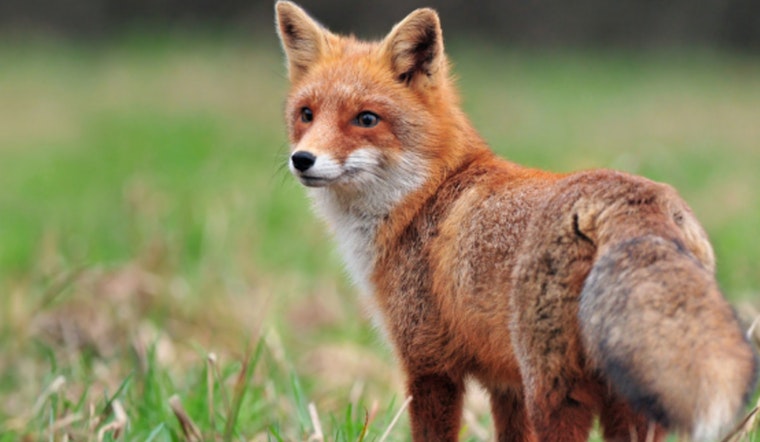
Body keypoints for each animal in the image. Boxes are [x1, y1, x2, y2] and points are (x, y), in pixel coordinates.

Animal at [275, 2, 757, 441]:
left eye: (366, 119)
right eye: (306, 114)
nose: (303, 160)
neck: (428, 195)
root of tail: (632, 199)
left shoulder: (429, 364)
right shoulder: (505, 383)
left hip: (556, 394)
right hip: (626, 399)